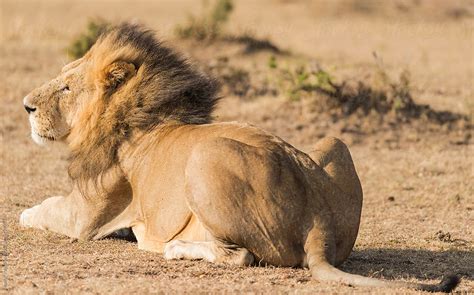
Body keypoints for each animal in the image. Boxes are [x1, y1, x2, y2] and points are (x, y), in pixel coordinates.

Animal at [19, 23, 460, 294]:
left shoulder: (84, 217)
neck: (134, 114)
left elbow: (41, 210)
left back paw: (176, 248)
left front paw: (24, 213)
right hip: (335, 142)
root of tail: (316, 218)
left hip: (205, 155)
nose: (26, 106)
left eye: (66, 87)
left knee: (241, 255)